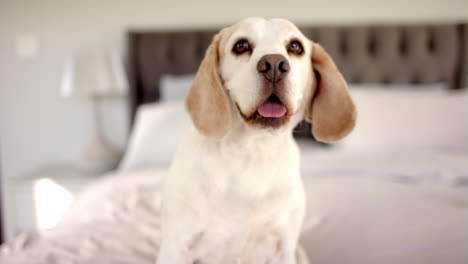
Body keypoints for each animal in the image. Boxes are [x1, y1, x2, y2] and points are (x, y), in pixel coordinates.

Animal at [157, 17, 354, 262]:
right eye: (241, 46)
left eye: (295, 46)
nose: (274, 65)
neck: (253, 152)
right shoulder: (177, 246)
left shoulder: (283, 248)